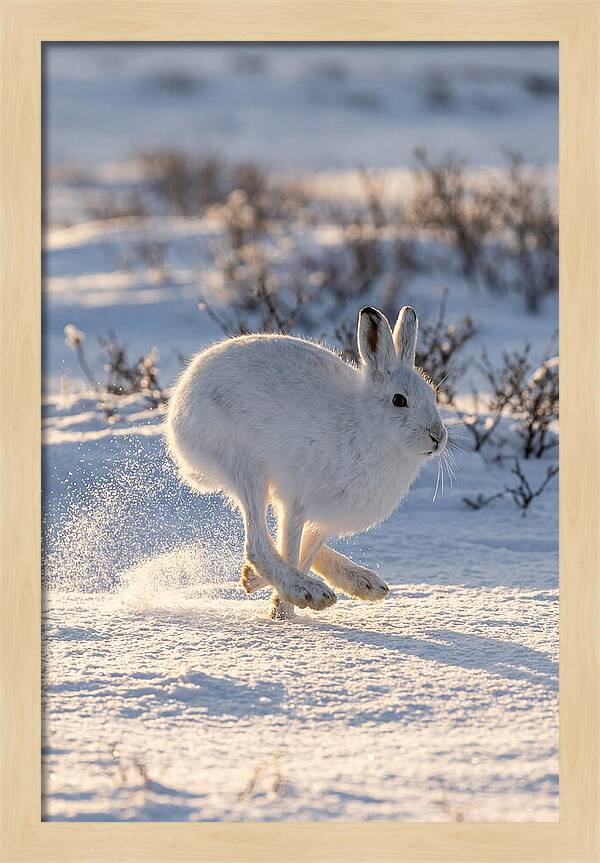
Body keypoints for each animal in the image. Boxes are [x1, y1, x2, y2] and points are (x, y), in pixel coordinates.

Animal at [166, 305, 447, 619]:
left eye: (433, 394)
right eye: (399, 400)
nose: (438, 436)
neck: (365, 426)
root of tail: (178, 405)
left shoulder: (323, 517)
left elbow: (305, 551)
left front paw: (275, 601)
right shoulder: (298, 503)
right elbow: (290, 549)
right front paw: (284, 611)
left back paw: (361, 583)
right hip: (245, 465)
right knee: (258, 544)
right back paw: (306, 590)